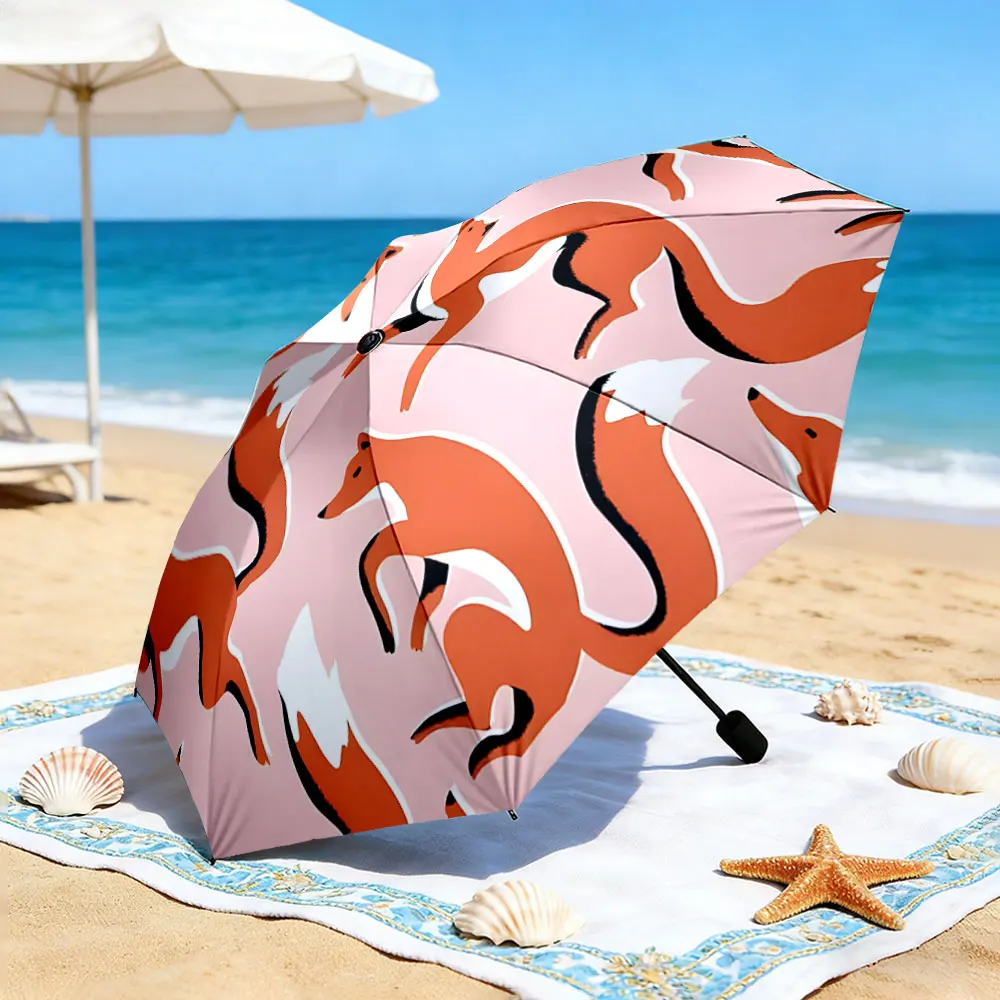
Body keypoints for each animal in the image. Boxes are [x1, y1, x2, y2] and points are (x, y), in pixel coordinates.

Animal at [318, 363, 720, 778]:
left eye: (356, 472)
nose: (324, 512)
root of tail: (581, 626)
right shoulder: (433, 550)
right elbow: (424, 584)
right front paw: (408, 633)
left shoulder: (430, 531)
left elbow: (375, 550)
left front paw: (389, 626)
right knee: (514, 719)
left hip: (469, 623)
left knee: (496, 718)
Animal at [341, 199, 890, 413]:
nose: (483, 225)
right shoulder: (414, 319)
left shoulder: (461, 314)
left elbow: (425, 356)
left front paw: (405, 393)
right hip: (575, 269)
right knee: (625, 303)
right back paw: (586, 340)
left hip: (581, 264)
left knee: (626, 302)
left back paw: (585, 345)